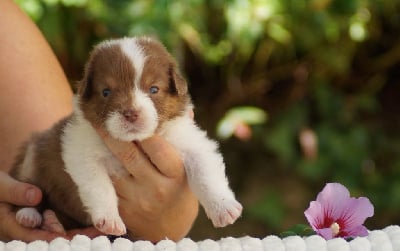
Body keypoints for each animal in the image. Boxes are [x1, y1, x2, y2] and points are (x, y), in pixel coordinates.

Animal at [10, 36, 241, 236]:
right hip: (32, 158)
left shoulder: (191, 143)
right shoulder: (81, 152)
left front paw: (224, 208)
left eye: (154, 89)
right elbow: (100, 187)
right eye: (106, 92)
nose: (131, 113)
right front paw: (109, 220)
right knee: (33, 190)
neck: (134, 141)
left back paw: (53, 223)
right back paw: (30, 215)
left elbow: (207, 175)